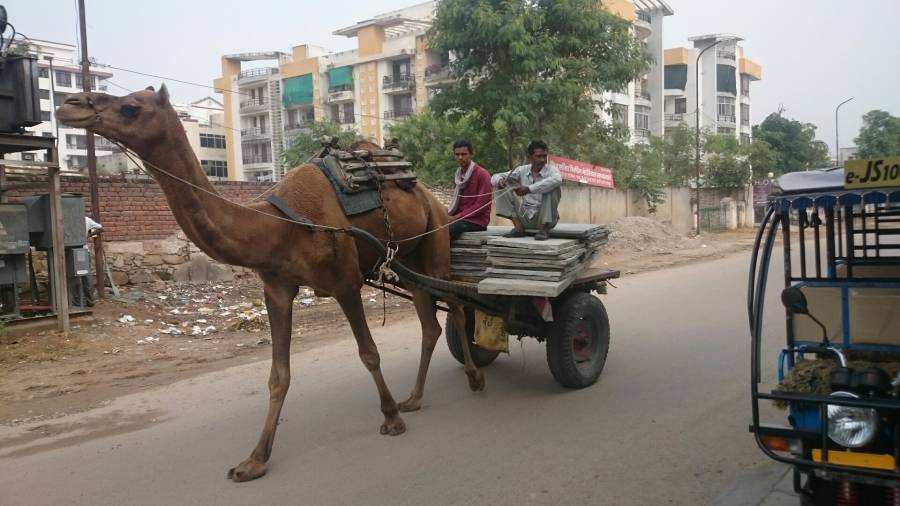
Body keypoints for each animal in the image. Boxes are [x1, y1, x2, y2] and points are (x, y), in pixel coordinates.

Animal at [54, 86, 486, 482]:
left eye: (131, 106)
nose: (68, 105)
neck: (280, 225)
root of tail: (429, 194)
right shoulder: (276, 290)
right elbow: (279, 375)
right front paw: (254, 460)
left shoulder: (345, 282)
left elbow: (369, 354)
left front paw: (391, 417)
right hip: (407, 259)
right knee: (430, 322)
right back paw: (416, 396)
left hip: (435, 240)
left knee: (457, 305)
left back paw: (472, 378)